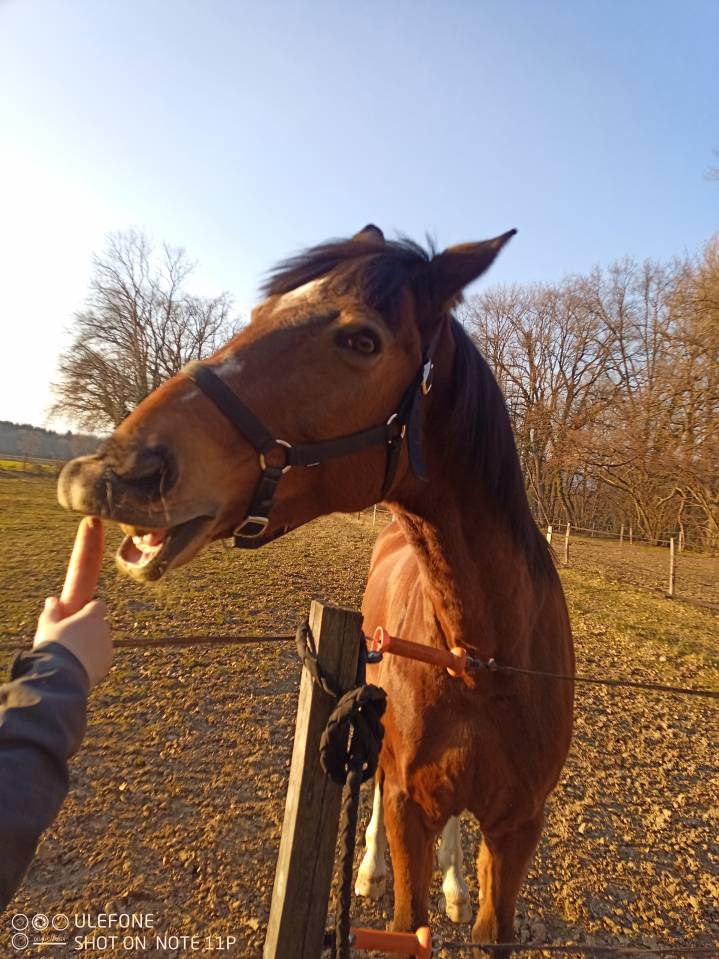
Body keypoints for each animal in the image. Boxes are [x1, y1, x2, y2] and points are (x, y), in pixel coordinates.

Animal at [58, 224, 574, 947]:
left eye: (362, 340)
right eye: (256, 315)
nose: (109, 472)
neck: (487, 659)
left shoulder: (517, 830)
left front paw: (453, 887)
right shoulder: (410, 808)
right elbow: (406, 910)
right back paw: (370, 868)